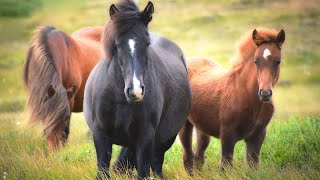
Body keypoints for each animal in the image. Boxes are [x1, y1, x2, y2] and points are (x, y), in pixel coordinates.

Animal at [84, 0, 191, 179]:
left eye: (147, 44)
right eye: (117, 44)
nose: (135, 91)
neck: (120, 99)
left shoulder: (145, 137)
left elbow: (143, 171)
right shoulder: (100, 136)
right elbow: (103, 170)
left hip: (164, 140)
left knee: (156, 164)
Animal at [179, 28, 286, 176]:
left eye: (278, 61)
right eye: (256, 61)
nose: (265, 93)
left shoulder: (258, 136)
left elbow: (253, 166)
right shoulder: (227, 134)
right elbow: (225, 167)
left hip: (202, 127)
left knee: (199, 156)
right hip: (185, 124)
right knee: (188, 156)